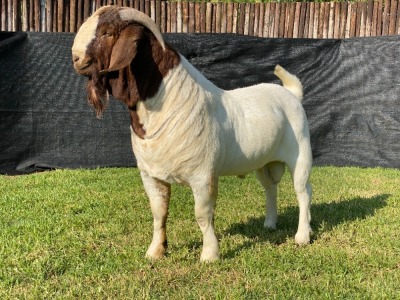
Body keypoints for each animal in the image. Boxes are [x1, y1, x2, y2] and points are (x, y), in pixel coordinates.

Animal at [73, 5, 314, 262]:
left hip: (300, 154)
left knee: (303, 191)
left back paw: (302, 236)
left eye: (107, 33)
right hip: (262, 162)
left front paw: (209, 254)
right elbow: (158, 213)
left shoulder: (203, 175)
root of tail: (291, 93)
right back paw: (270, 224)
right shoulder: (150, 175)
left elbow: (202, 214)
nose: (76, 58)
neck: (168, 101)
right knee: (270, 187)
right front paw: (155, 251)